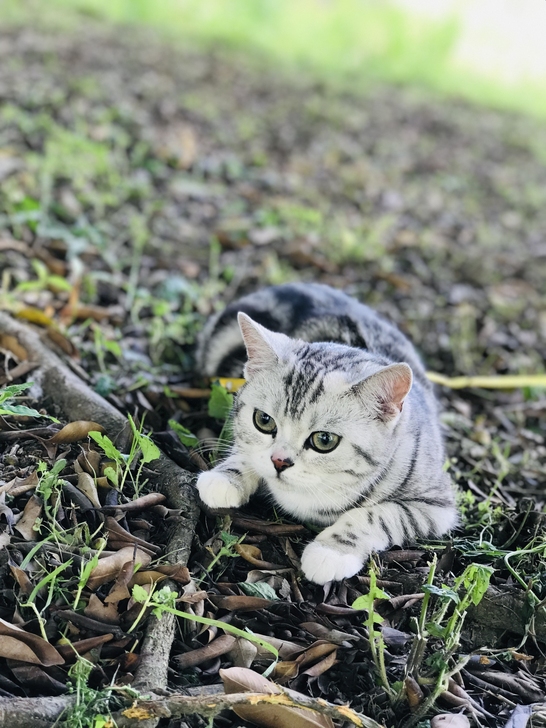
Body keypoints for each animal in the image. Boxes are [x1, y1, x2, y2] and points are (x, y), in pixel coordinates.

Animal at [194, 282, 454, 584]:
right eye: (264, 420)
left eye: (324, 440)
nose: (279, 461)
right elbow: (246, 448)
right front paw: (227, 476)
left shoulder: (437, 504)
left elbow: (377, 515)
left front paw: (332, 550)